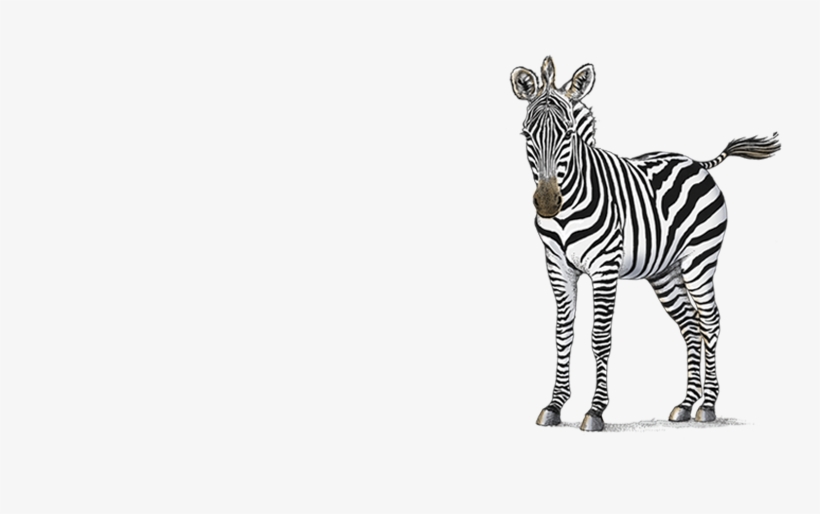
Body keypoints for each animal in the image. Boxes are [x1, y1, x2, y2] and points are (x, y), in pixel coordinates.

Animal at [510, 56, 780, 431]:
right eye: (526, 134)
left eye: (568, 134)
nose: (548, 203)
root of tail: (696, 162)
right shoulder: (557, 268)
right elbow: (562, 335)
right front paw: (554, 405)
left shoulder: (604, 267)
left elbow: (599, 337)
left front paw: (595, 411)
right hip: (665, 273)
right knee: (690, 325)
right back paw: (685, 404)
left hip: (700, 262)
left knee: (710, 321)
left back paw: (708, 405)